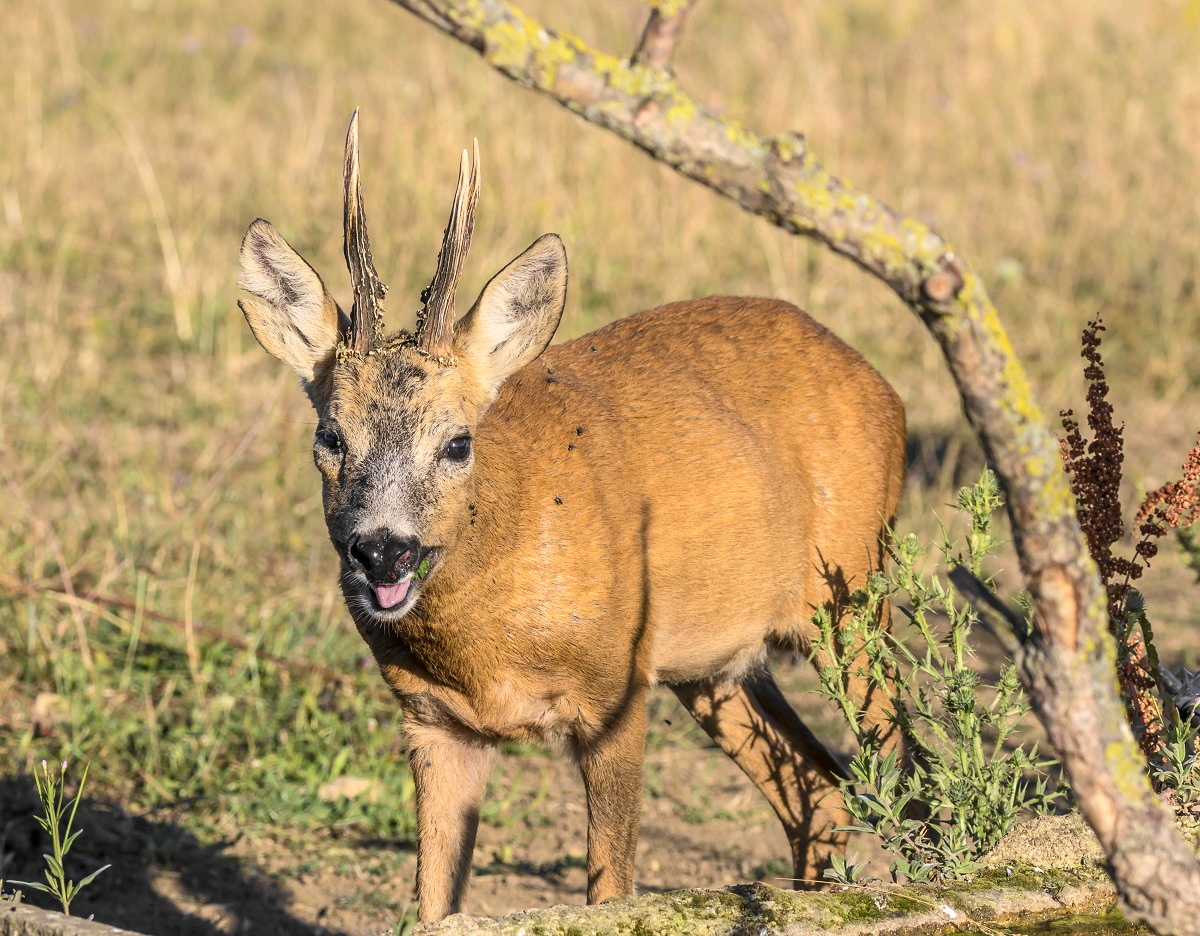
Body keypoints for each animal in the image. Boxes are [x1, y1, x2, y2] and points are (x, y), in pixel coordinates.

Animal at [238, 109, 902, 921]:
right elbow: (436, 905)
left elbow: (610, 891)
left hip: (854, 598)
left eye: (457, 441)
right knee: (817, 787)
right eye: (330, 437)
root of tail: (882, 387)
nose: (383, 550)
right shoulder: (432, 721)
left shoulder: (616, 692)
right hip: (714, 667)